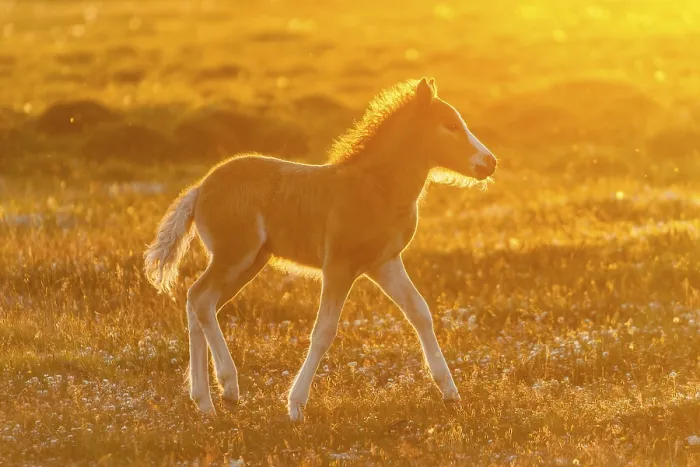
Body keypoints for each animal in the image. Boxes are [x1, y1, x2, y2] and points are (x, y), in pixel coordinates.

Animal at [144, 77, 498, 421]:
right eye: (450, 125)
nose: (489, 162)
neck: (376, 187)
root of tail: (200, 188)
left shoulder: (383, 263)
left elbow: (420, 312)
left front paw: (450, 394)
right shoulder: (339, 265)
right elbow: (324, 330)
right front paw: (295, 406)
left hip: (250, 261)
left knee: (198, 301)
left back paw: (204, 401)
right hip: (235, 255)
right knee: (201, 299)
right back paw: (228, 388)